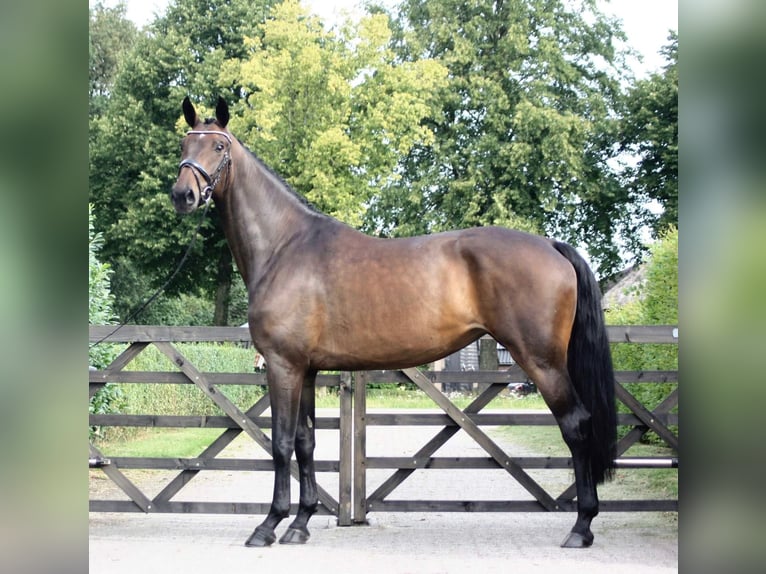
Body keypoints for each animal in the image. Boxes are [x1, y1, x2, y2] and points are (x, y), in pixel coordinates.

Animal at [170, 97, 616, 552]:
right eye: (185, 143)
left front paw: (268, 525)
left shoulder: (281, 366)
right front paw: (301, 523)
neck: (284, 247)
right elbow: (305, 441)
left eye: (219, 147)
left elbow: (280, 443)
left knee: (576, 425)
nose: (182, 194)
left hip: (543, 363)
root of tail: (551, 245)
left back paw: (581, 527)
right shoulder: (305, 370)